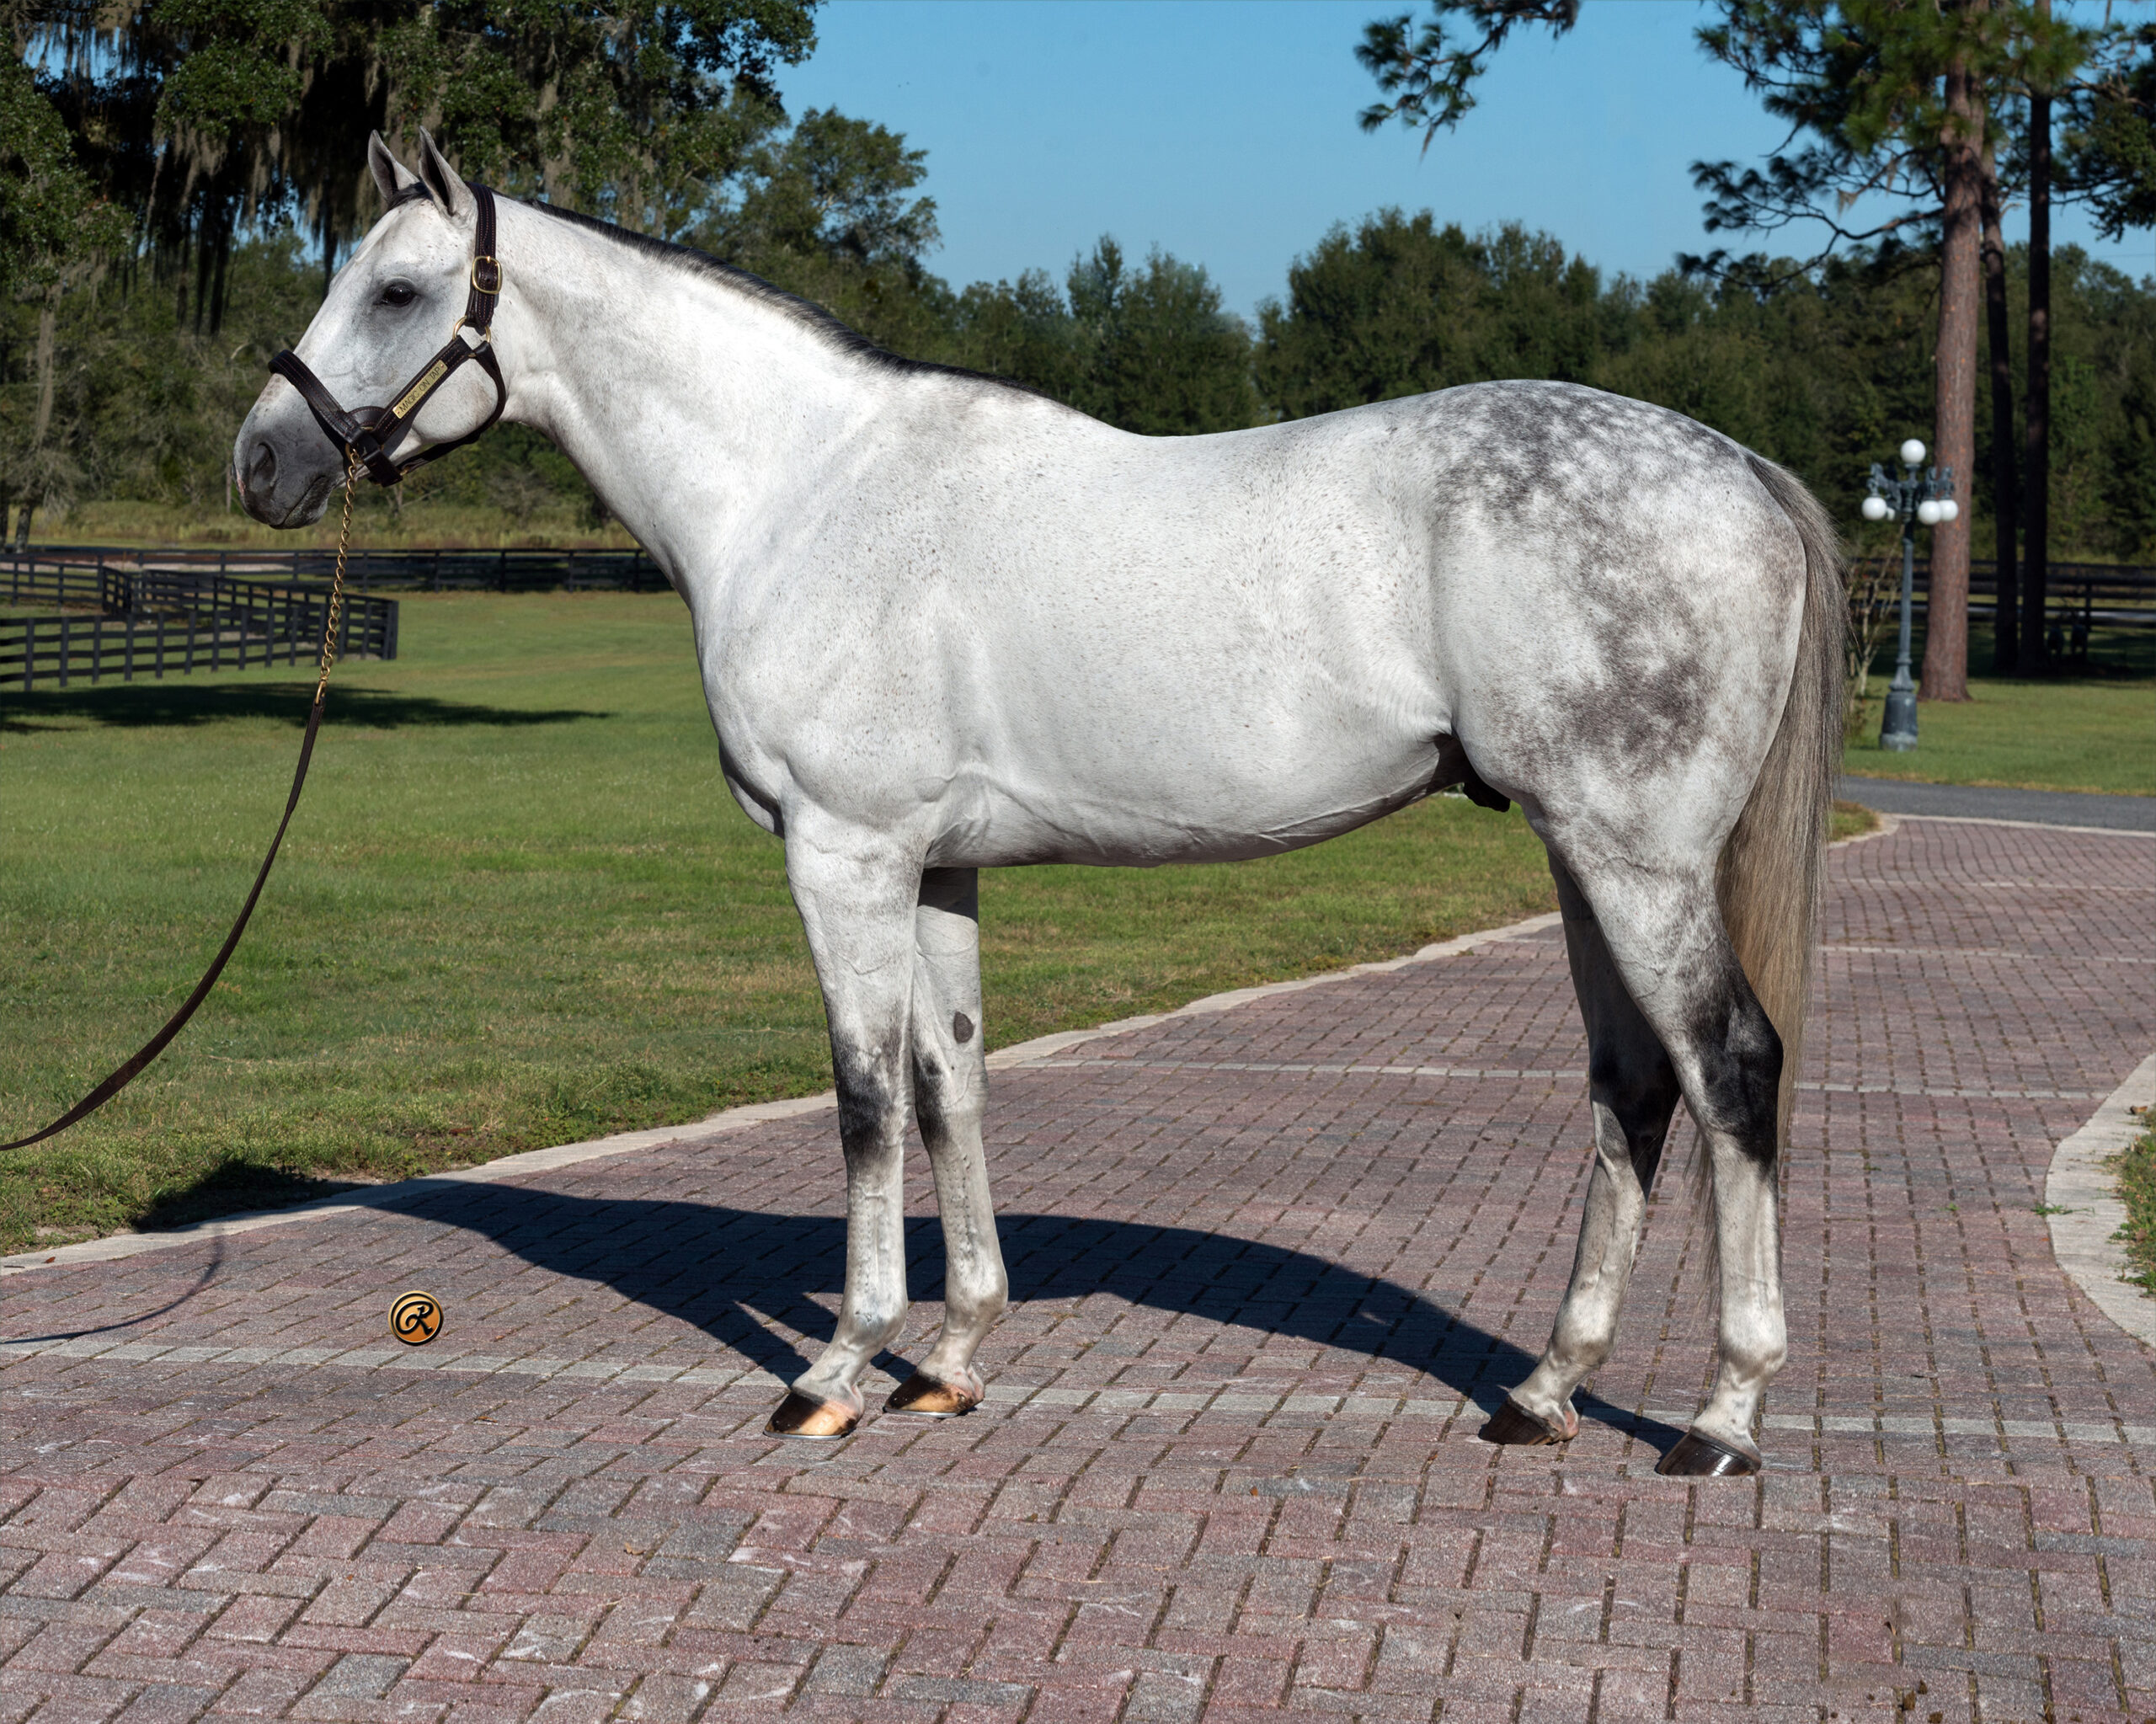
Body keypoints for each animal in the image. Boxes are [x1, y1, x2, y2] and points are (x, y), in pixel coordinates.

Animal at [235, 133, 1843, 1478]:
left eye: (395, 288)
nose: (263, 459)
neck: (801, 489)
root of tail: (1740, 470)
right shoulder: (936, 866)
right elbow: (951, 1083)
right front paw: (952, 1354)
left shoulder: (845, 852)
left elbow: (866, 1101)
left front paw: (838, 1366)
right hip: (1583, 858)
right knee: (1632, 1091)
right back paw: (1546, 1389)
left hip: (1636, 861)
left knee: (1731, 1068)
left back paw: (1719, 1415)